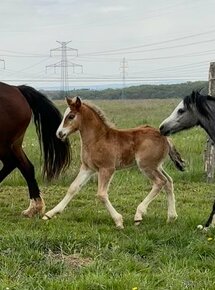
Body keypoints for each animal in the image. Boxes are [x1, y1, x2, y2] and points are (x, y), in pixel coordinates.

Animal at [0, 81, 71, 218]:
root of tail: (17, 89)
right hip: (15, 144)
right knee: (26, 167)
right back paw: (34, 208)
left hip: (4, 144)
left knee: (13, 163)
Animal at [42, 97, 184, 229]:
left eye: (71, 116)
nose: (59, 133)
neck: (97, 139)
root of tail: (165, 137)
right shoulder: (87, 168)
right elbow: (73, 188)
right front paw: (50, 214)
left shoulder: (107, 168)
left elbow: (101, 194)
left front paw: (118, 221)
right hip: (157, 166)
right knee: (168, 182)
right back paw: (171, 217)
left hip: (146, 166)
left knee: (160, 182)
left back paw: (139, 215)